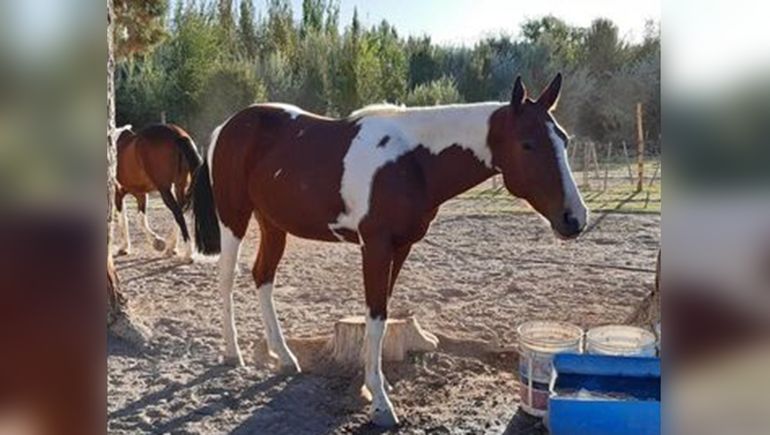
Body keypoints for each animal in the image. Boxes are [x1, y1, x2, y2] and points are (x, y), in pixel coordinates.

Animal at [113, 123, 202, 261]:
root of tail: (177, 134)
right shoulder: (140, 194)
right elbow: (140, 219)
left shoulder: (118, 193)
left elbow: (123, 220)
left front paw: (125, 247)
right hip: (179, 186)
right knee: (181, 211)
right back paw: (171, 248)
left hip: (165, 190)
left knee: (178, 213)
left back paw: (187, 253)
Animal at [190, 73, 587, 427]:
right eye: (527, 144)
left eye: (564, 140)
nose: (574, 218)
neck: (413, 161)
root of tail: (227, 126)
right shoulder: (376, 246)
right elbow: (377, 315)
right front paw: (380, 402)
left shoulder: (401, 246)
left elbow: (379, 315)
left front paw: (370, 385)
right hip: (234, 220)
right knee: (227, 280)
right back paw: (232, 353)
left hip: (273, 225)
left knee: (263, 278)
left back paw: (284, 356)